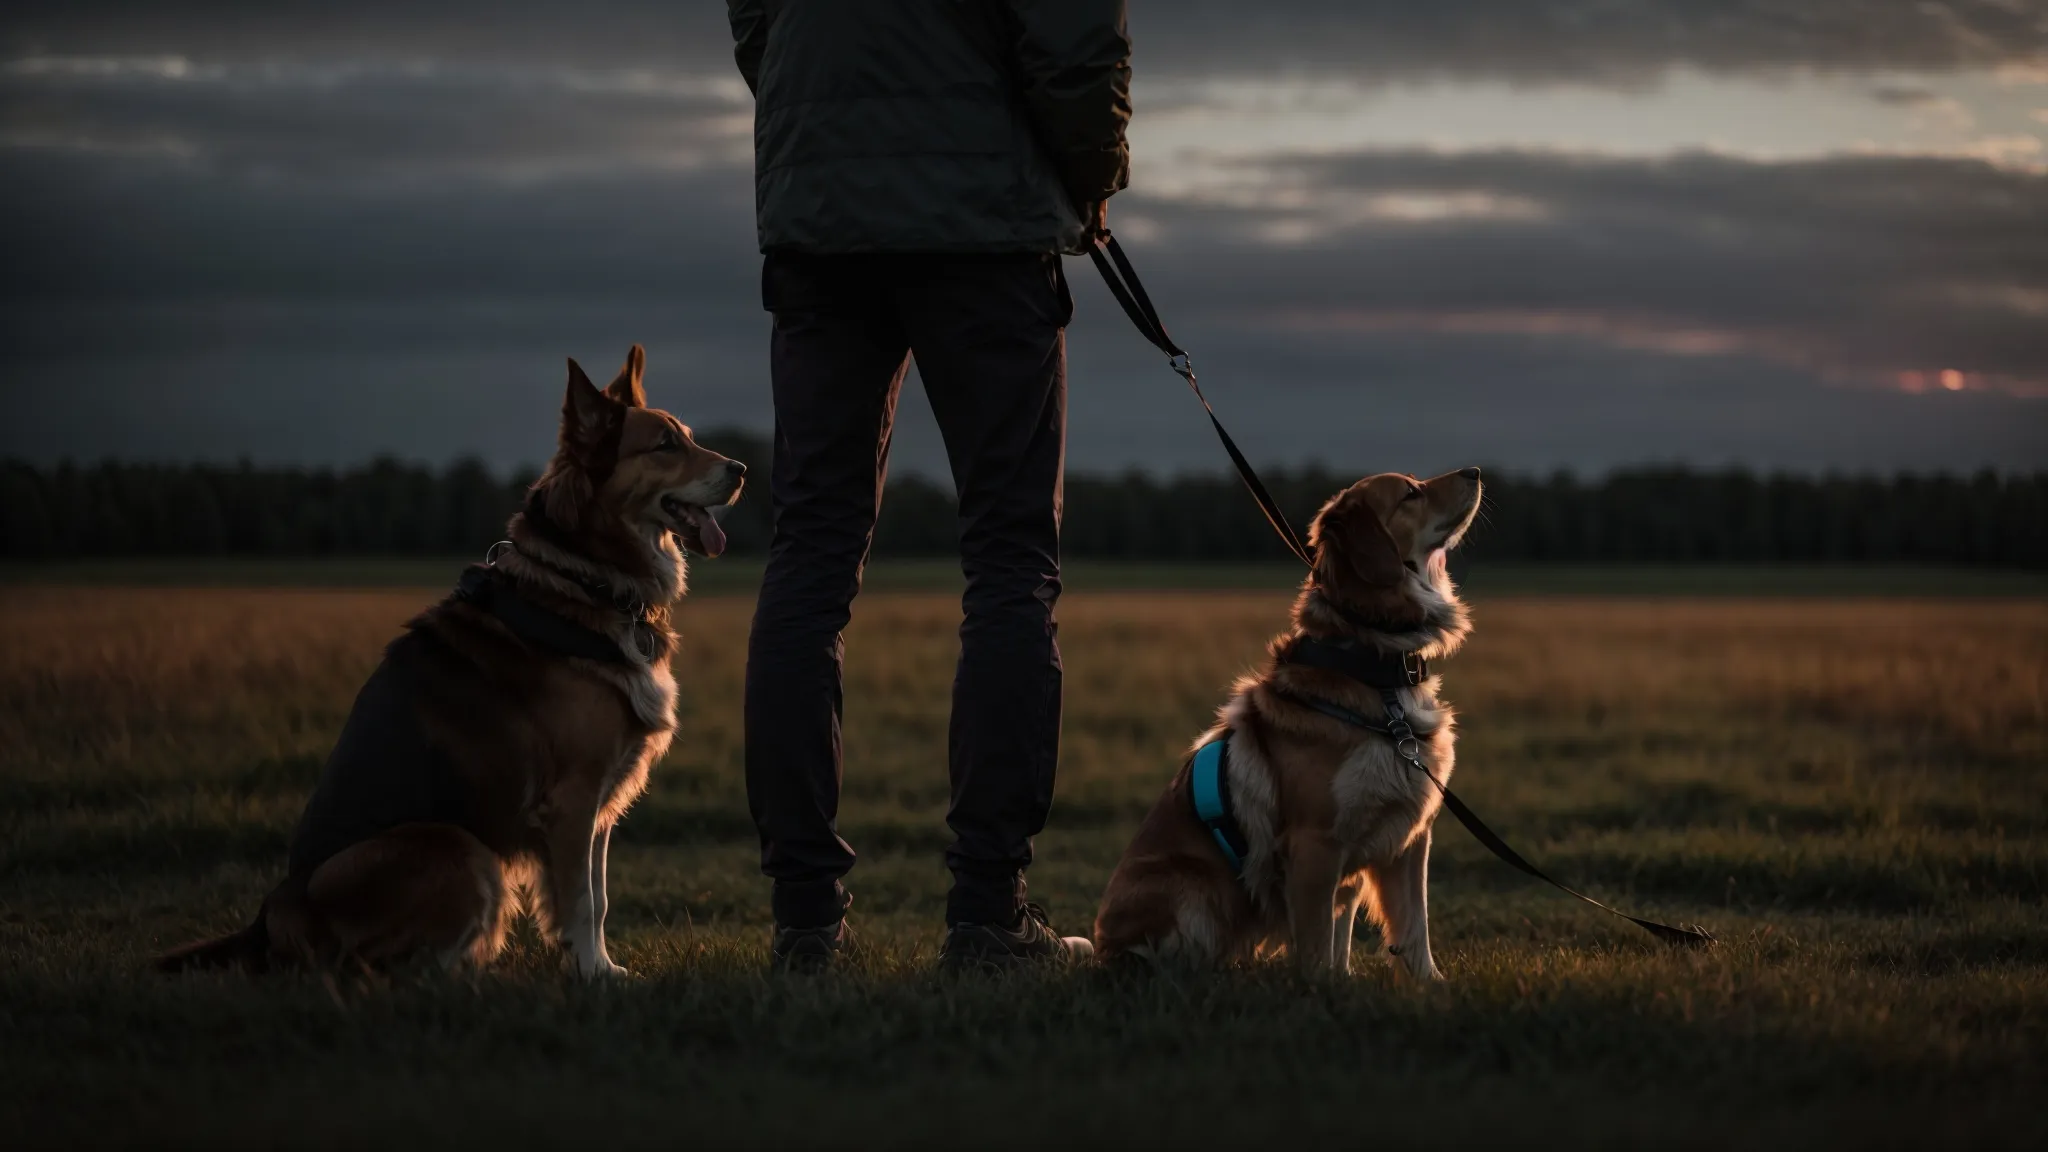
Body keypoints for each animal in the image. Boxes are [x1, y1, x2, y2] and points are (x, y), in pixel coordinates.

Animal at [1097, 467, 1482, 975]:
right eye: (1410, 492)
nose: (1476, 471)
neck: (1373, 666)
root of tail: (1100, 944)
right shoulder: (1314, 845)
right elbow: (1317, 948)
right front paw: (1321, 989)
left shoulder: (1406, 840)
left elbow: (1411, 930)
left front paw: (1427, 986)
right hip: (1191, 885)